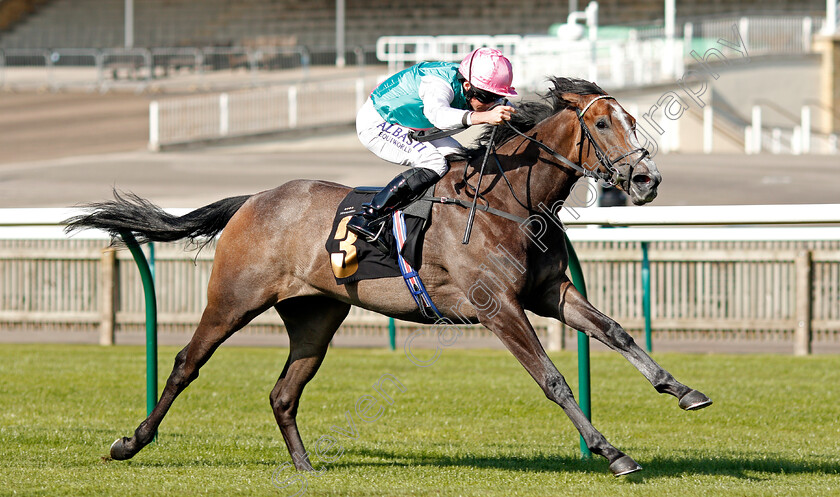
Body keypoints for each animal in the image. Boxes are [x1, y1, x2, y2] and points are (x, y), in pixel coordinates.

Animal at [67, 77, 708, 476]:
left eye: (631, 119)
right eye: (601, 124)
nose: (647, 180)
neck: (508, 200)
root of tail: (254, 199)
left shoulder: (550, 292)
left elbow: (616, 332)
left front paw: (683, 390)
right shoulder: (497, 306)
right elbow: (552, 379)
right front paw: (611, 451)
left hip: (317, 314)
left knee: (283, 391)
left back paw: (305, 467)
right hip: (233, 299)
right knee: (186, 364)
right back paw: (129, 442)